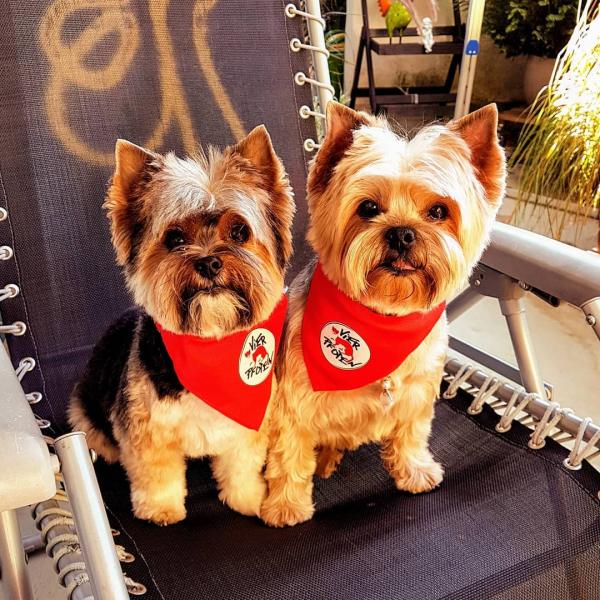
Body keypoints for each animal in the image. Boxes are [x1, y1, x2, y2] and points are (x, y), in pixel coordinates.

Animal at [68, 126, 294, 525]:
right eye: (174, 238)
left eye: (239, 232)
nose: (208, 263)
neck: (211, 340)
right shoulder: (148, 429)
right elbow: (155, 472)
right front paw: (161, 508)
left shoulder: (246, 425)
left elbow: (241, 465)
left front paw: (248, 498)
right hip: (84, 410)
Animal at [261, 102, 505, 527]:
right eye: (368, 208)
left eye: (438, 211)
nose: (403, 233)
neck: (384, 318)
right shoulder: (292, 402)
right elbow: (289, 453)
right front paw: (286, 505)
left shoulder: (418, 392)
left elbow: (410, 434)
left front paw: (415, 472)